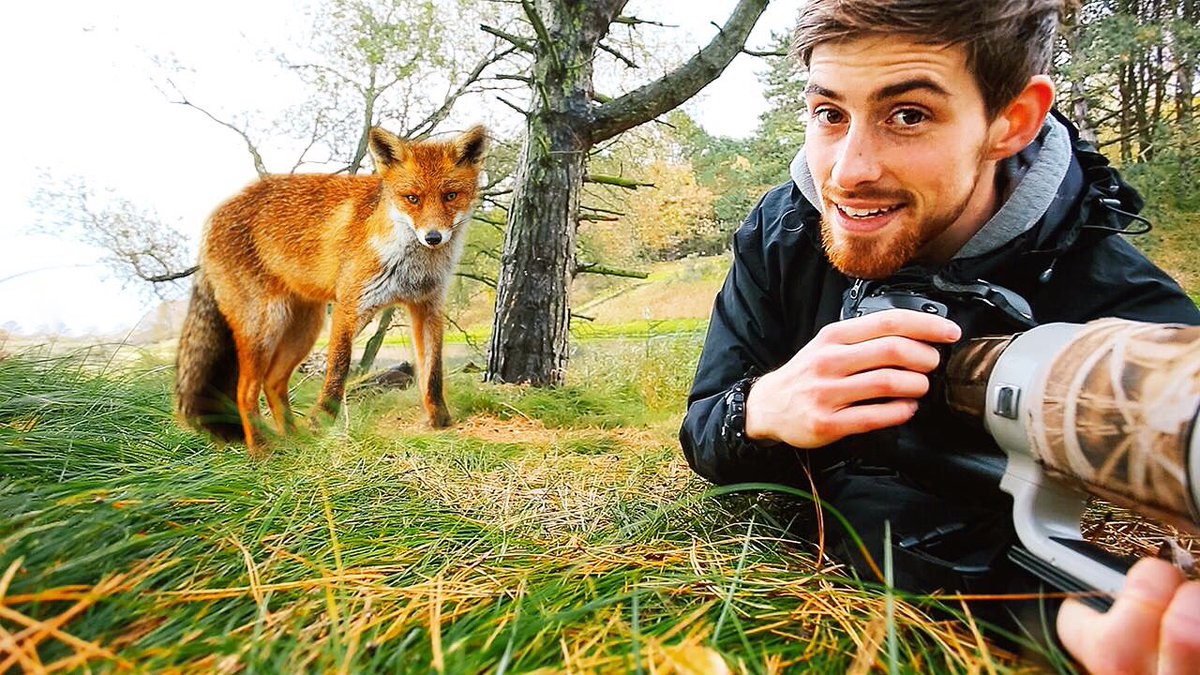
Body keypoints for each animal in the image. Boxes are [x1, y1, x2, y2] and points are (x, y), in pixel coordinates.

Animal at [175, 125, 487, 456]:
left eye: (450, 196)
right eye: (412, 198)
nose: (433, 237)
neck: (409, 266)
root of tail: (212, 218)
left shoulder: (428, 307)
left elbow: (433, 373)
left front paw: (441, 421)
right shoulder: (349, 306)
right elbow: (338, 367)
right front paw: (323, 419)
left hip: (304, 329)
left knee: (272, 383)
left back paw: (295, 441)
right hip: (265, 326)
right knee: (245, 391)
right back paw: (261, 452)